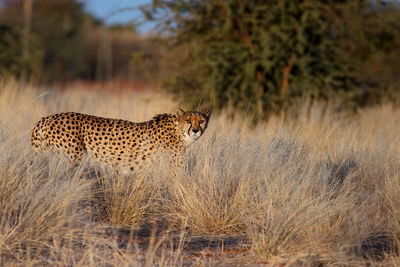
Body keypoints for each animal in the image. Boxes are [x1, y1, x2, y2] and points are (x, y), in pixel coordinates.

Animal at [31, 109, 211, 171]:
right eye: (188, 120)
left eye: (201, 121)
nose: (196, 130)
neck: (179, 131)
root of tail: (46, 117)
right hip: (72, 158)